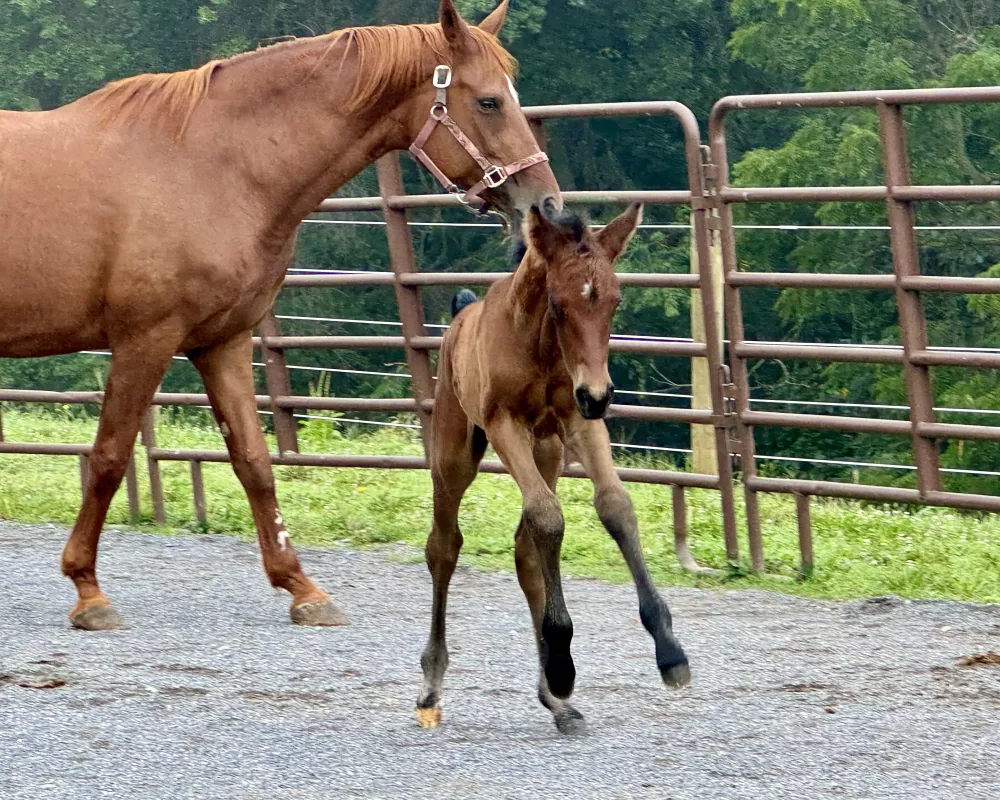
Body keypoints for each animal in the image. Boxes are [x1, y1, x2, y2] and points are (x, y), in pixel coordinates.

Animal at [418, 205, 692, 732]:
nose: (600, 394)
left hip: (546, 451)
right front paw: (564, 665)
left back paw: (554, 697)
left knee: (526, 550)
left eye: (614, 302)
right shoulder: (505, 424)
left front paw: (670, 651)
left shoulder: (578, 419)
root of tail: (460, 315)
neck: (540, 347)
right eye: (558, 304)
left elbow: (613, 506)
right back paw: (432, 685)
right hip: (455, 453)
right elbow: (548, 517)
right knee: (444, 546)